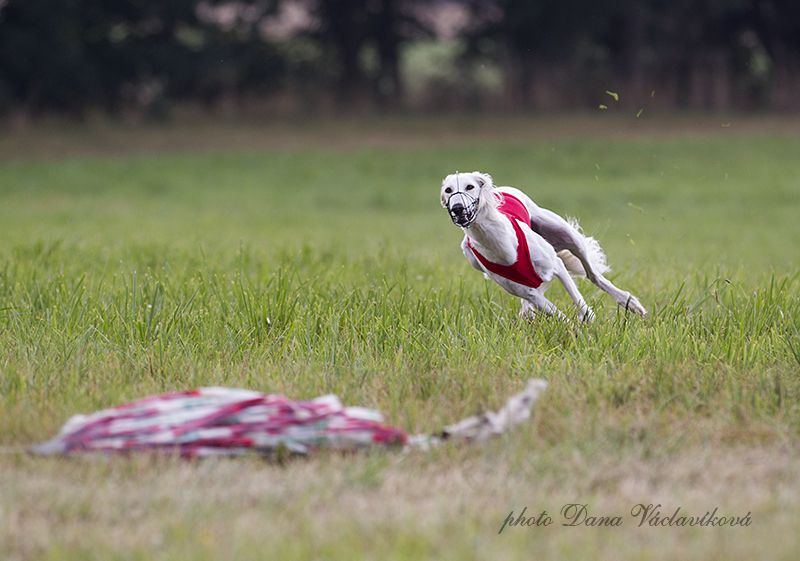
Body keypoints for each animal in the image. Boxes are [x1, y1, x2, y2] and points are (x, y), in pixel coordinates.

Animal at [440, 171, 647, 322]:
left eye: (470, 186)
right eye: (448, 190)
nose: (458, 209)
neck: (496, 242)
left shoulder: (556, 265)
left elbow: (579, 301)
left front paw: (588, 321)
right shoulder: (530, 293)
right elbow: (561, 318)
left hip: (566, 234)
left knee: (593, 275)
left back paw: (630, 303)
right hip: (472, 258)